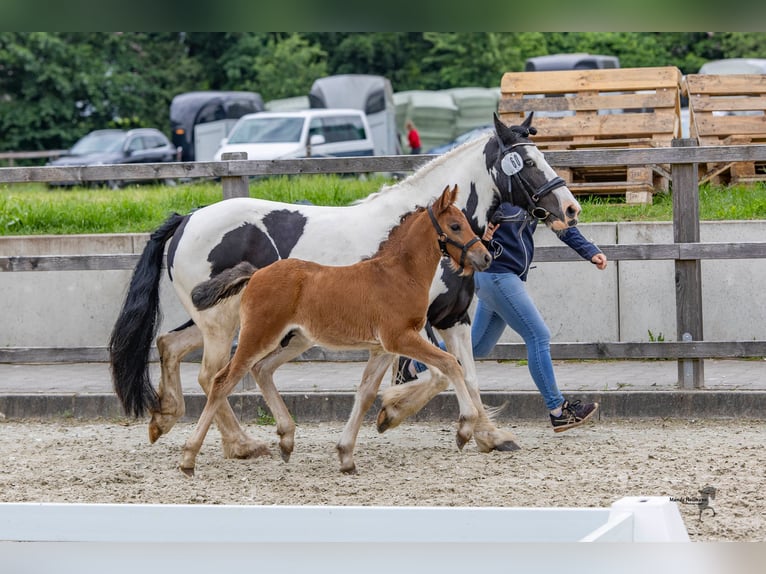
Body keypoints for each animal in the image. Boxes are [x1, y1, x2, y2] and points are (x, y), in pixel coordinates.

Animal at [109, 115, 584, 462]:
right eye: (526, 163)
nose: (570, 208)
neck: (417, 241)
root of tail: (186, 219)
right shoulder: (408, 328)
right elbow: (437, 373)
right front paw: (392, 413)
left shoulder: (453, 318)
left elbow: (464, 371)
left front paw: (489, 435)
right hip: (224, 324)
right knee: (213, 375)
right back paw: (242, 443)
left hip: (225, 320)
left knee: (171, 346)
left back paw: (169, 419)